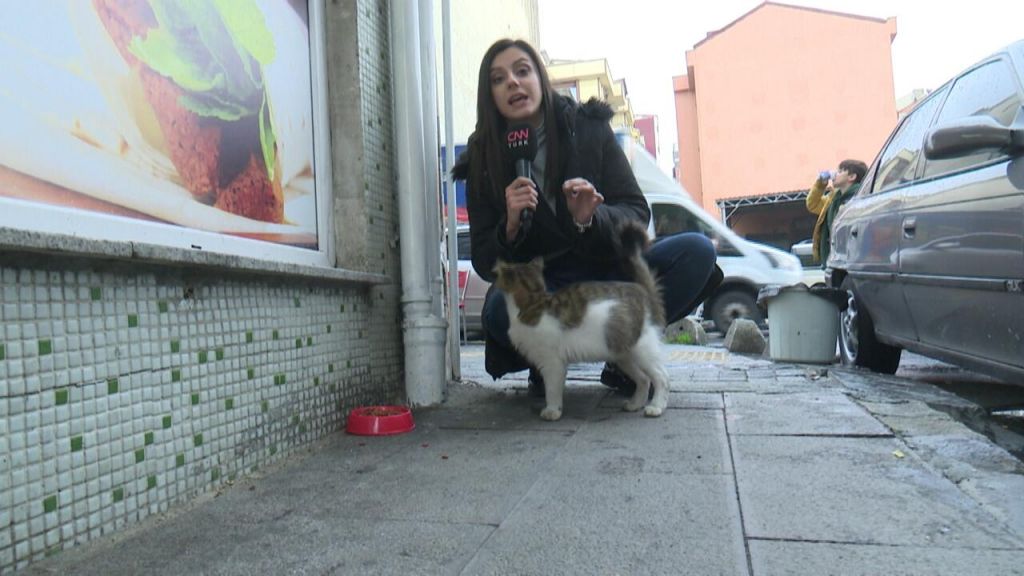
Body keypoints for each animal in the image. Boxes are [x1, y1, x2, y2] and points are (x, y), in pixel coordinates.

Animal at [492, 221, 669, 421]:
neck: (533, 302)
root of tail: (644, 292)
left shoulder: (552, 363)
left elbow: (552, 391)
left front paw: (552, 411)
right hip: (624, 355)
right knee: (643, 379)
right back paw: (635, 404)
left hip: (642, 350)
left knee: (662, 377)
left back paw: (656, 407)